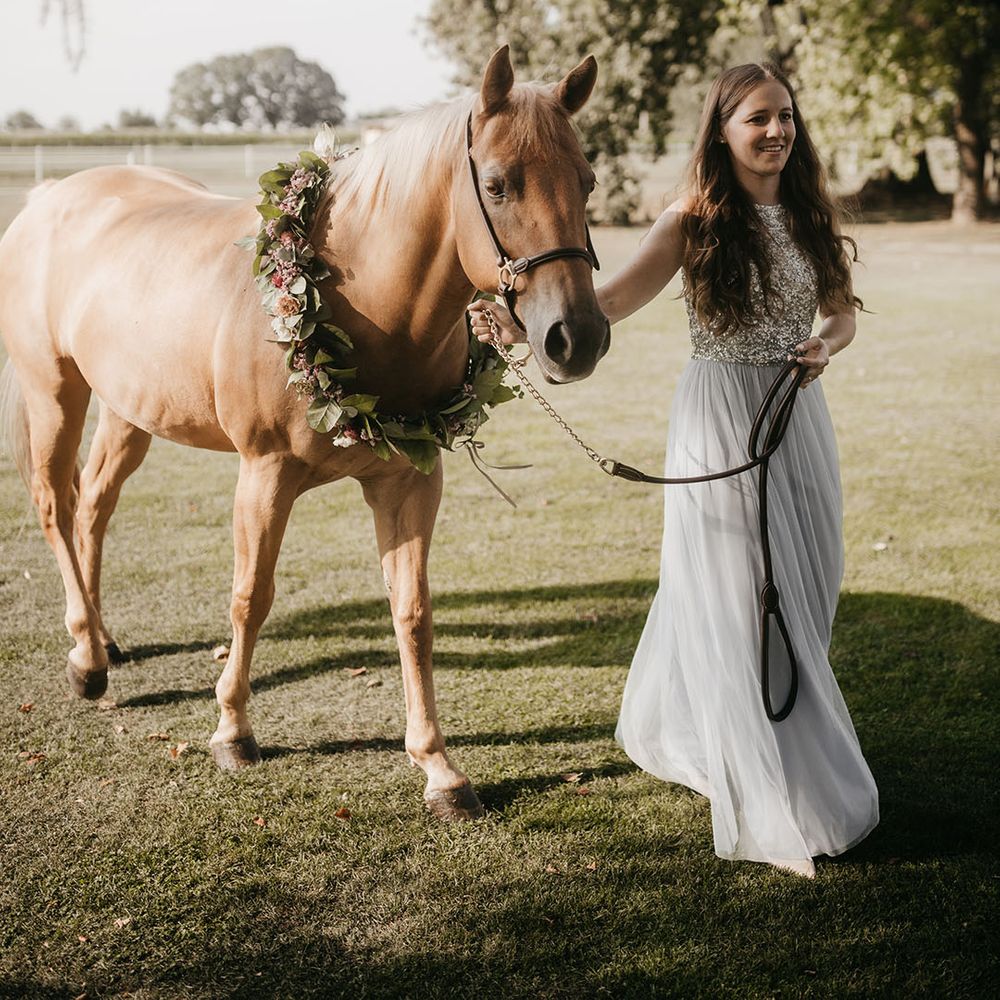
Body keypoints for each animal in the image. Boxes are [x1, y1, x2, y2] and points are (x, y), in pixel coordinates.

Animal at [0, 46, 609, 821]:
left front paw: (439, 768)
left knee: (93, 510)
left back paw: (104, 641)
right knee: (56, 505)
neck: (355, 297)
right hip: (56, 394)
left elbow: (412, 613)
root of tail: (49, 198)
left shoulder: (409, 483)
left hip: (127, 411)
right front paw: (232, 731)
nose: (576, 338)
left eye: (587, 180)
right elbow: (250, 597)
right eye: (498, 185)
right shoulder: (265, 475)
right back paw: (86, 661)